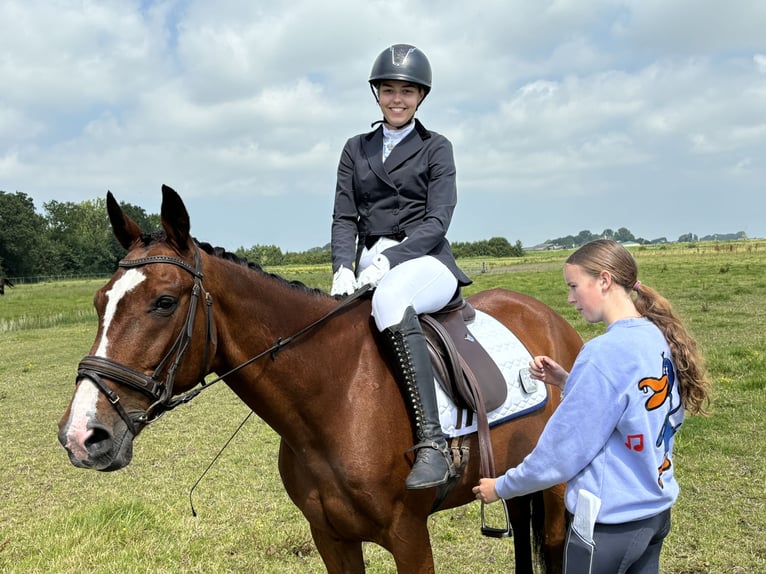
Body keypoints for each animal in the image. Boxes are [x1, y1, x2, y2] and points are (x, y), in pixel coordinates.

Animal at [57, 187, 584, 572]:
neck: (337, 396)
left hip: (556, 489)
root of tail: (553, 320)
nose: (82, 435)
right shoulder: (331, 538)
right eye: (100, 301)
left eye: (164, 302)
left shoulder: (409, 536)